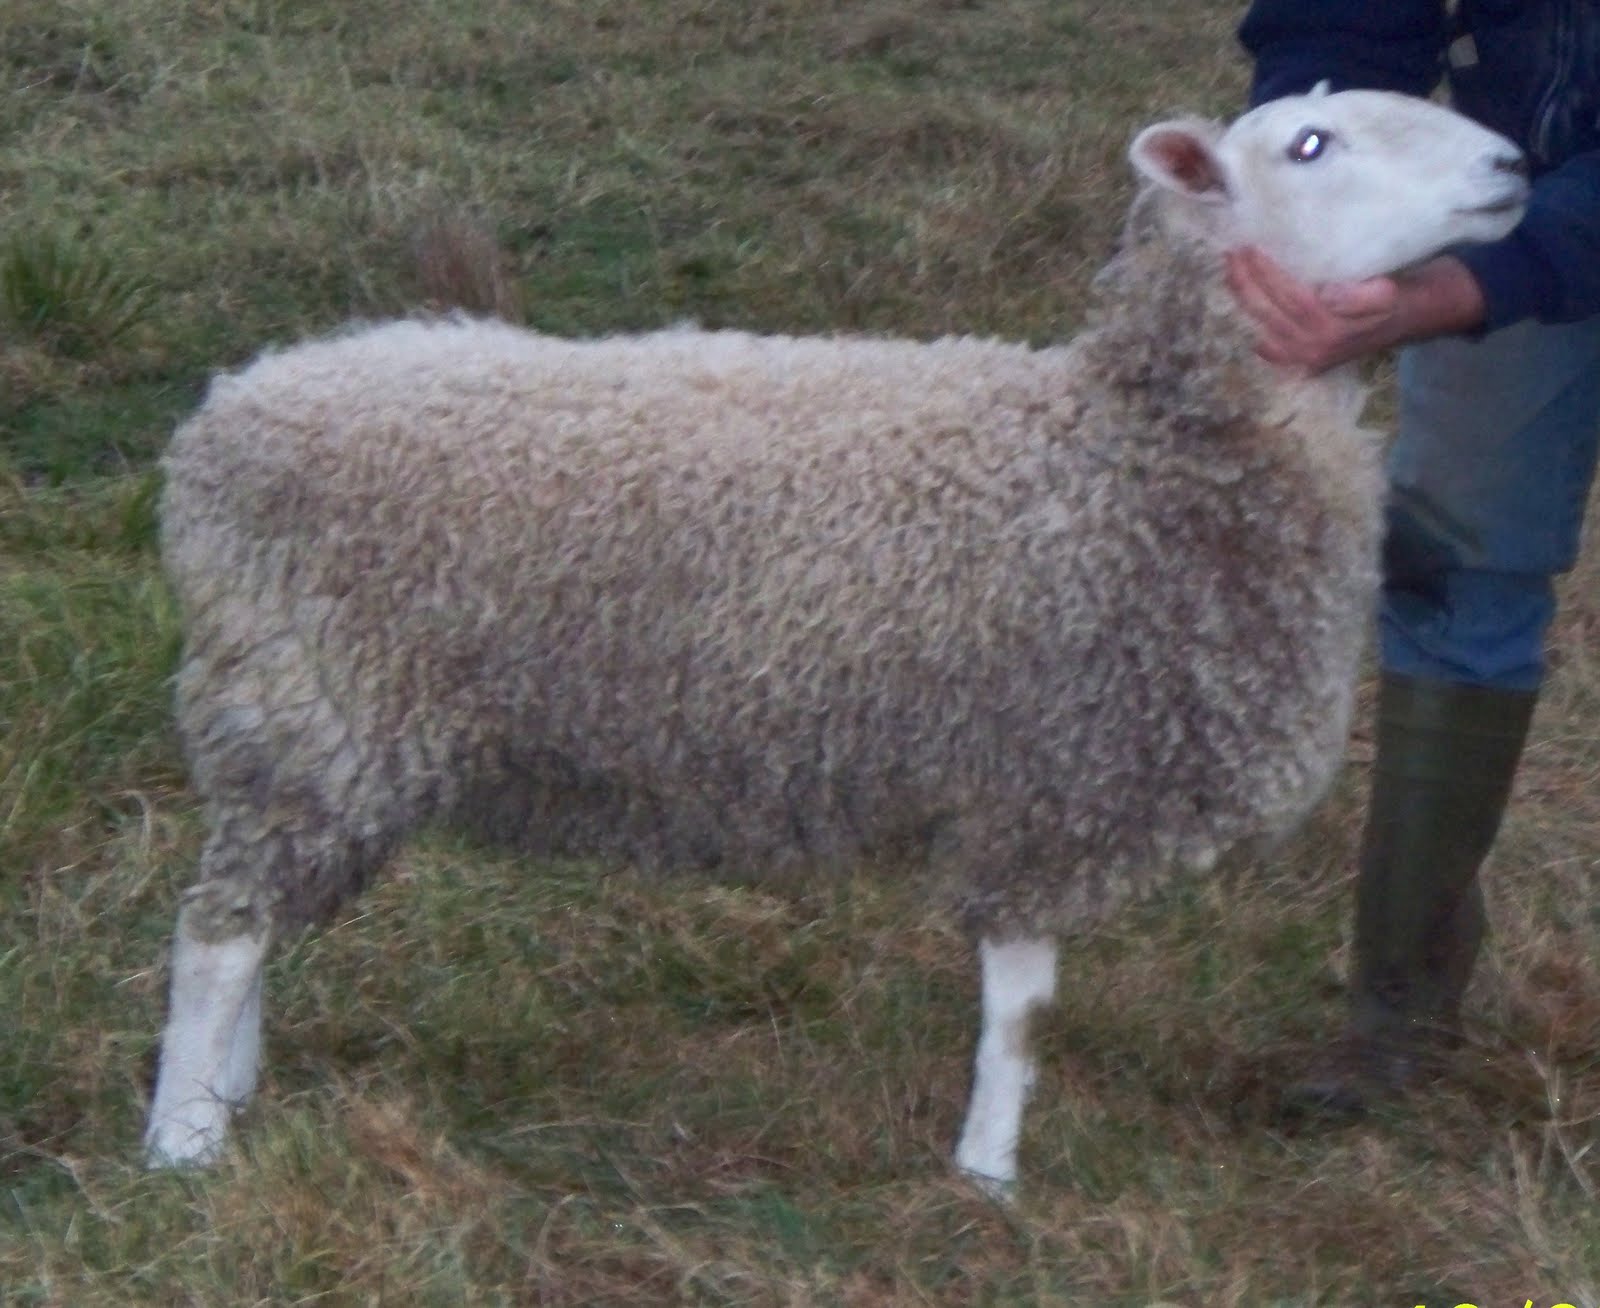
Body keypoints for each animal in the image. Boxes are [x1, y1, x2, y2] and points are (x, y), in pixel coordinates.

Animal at [142, 88, 1528, 1192]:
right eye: (1310, 144)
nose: (1517, 163)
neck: (1125, 447)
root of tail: (221, 422)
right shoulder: (1040, 777)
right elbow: (1020, 1009)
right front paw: (987, 1177)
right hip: (311, 711)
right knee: (216, 937)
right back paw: (182, 1147)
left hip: (320, 739)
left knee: (252, 924)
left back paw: (229, 1095)